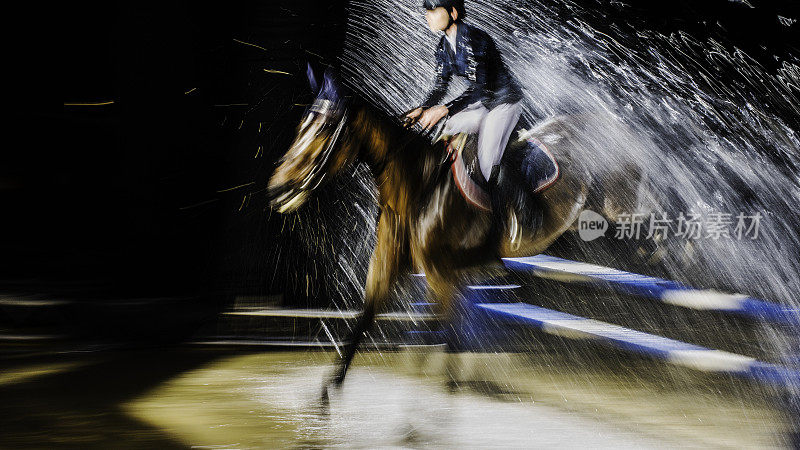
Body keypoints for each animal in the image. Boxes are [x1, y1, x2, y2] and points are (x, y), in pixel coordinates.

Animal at [268, 66, 636, 398]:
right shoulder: (390, 268)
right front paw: (328, 391)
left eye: (326, 129)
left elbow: (446, 338)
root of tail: (610, 123)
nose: (277, 189)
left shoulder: (442, 275)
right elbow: (367, 319)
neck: (419, 186)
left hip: (621, 201)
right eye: (302, 126)